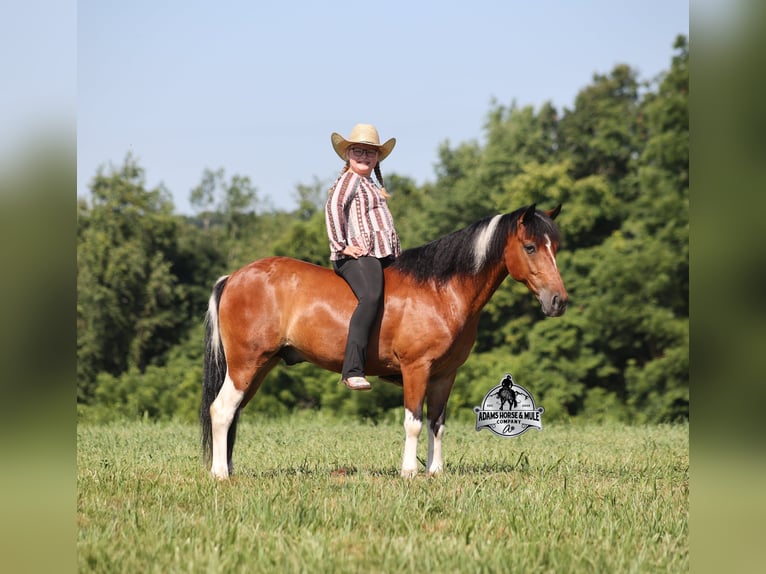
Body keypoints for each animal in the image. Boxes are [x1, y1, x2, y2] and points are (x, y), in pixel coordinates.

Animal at [200, 203, 568, 479]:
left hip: (259, 367)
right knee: (221, 410)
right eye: (531, 247)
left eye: (556, 248)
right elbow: (414, 422)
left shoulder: (444, 376)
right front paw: (409, 472)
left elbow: (437, 423)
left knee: (233, 413)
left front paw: (435, 472)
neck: (440, 291)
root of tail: (233, 278)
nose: (558, 301)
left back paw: (228, 468)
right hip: (245, 365)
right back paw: (219, 474)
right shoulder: (416, 369)